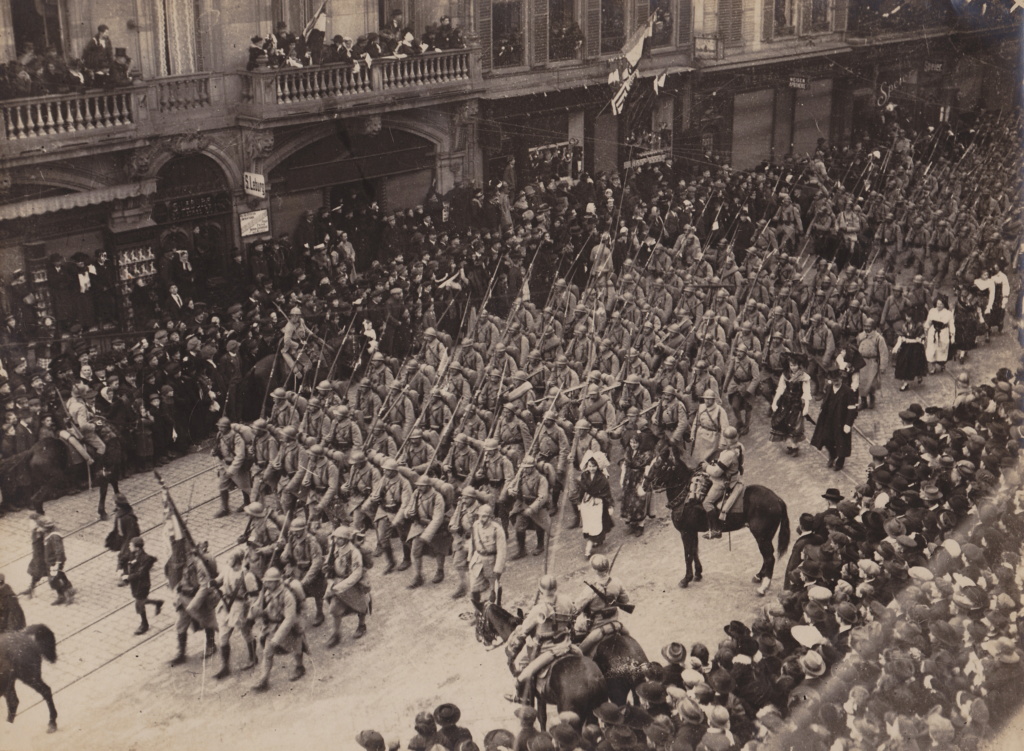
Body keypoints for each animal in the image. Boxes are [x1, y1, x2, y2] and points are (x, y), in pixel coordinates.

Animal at [647, 448, 790, 594]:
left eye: (659, 465)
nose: (646, 483)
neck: (686, 497)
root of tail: (777, 499)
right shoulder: (692, 531)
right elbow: (694, 551)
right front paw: (698, 574)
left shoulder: (685, 532)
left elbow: (688, 555)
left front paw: (686, 579)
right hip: (765, 536)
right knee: (767, 557)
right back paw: (758, 576)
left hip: (761, 536)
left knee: (769, 558)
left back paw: (764, 586)